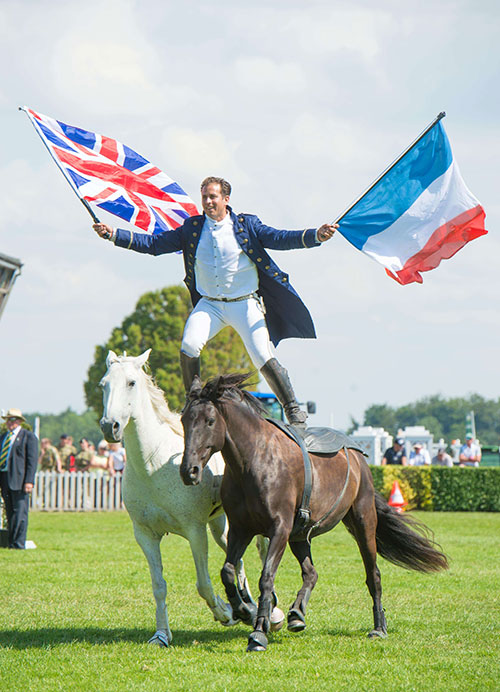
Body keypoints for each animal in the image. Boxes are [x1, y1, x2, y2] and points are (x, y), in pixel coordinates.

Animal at [98, 352, 274, 648]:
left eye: (131, 382)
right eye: (103, 384)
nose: (110, 426)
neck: (152, 466)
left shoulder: (195, 531)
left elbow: (203, 584)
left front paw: (226, 613)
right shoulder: (145, 535)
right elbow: (159, 586)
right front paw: (161, 635)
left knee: (258, 556)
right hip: (221, 527)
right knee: (237, 562)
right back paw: (248, 608)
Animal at [181, 376, 450, 652]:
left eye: (209, 421)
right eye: (183, 420)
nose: (189, 471)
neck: (252, 463)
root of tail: (358, 457)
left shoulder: (279, 529)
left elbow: (266, 578)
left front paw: (258, 633)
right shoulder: (241, 529)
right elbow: (227, 571)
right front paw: (242, 610)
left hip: (362, 522)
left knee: (372, 575)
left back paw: (379, 627)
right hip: (300, 535)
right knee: (311, 572)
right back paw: (297, 614)